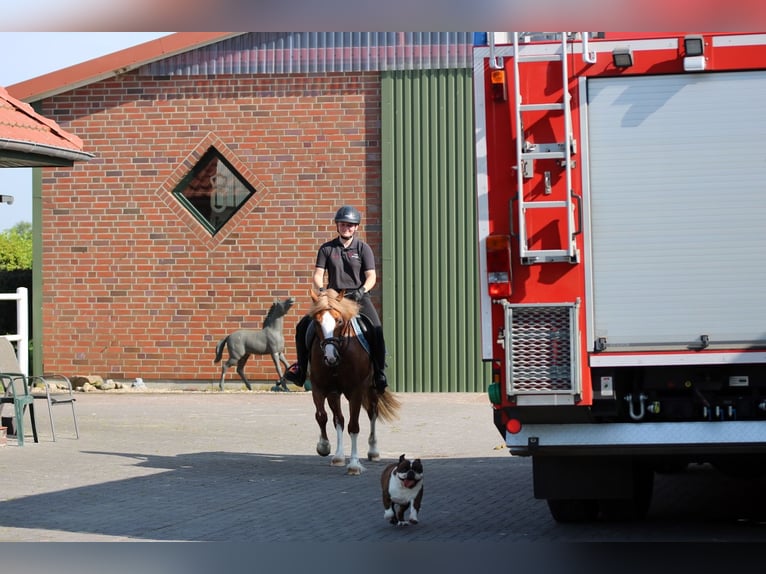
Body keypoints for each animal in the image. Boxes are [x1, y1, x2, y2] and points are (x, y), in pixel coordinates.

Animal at [308, 290, 402, 474]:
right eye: (317, 322)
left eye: (339, 321)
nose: (330, 357)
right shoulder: (321, 388)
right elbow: (322, 416)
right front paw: (324, 447)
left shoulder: (356, 391)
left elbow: (354, 426)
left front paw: (354, 465)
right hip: (335, 394)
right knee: (338, 419)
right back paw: (338, 456)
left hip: (372, 389)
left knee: (372, 413)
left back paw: (373, 452)